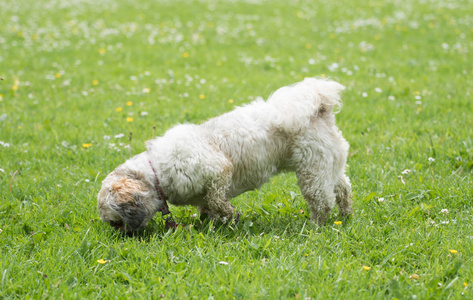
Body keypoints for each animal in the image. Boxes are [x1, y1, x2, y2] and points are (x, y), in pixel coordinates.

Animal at [97, 77, 352, 232]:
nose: (125, 237)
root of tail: (319, 107)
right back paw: (346, 216)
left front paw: (230, 216)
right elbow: (207, 207)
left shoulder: (218, 170)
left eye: (115, 223)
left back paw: (316, 226)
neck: (155, 171)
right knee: (344, 188)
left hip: (312, 173)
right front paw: (212, 222)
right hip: (330, 166)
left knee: (323, 202)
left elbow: (216, 200)